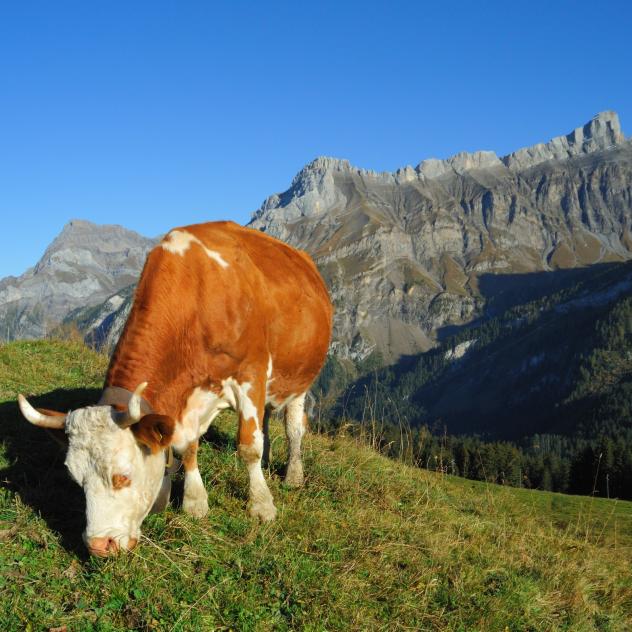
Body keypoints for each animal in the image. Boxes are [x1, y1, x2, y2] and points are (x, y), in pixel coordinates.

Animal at [17, 222, 334, 556]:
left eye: (122, 477)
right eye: (77, 480)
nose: (99, 546)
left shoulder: (252, 372)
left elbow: (249, 446)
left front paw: (261, 505)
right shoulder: (189, 397)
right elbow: (186, 446)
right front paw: (195, 502)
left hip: (300, 378)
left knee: (294, 427)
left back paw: (293, 475)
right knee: (267, 420)